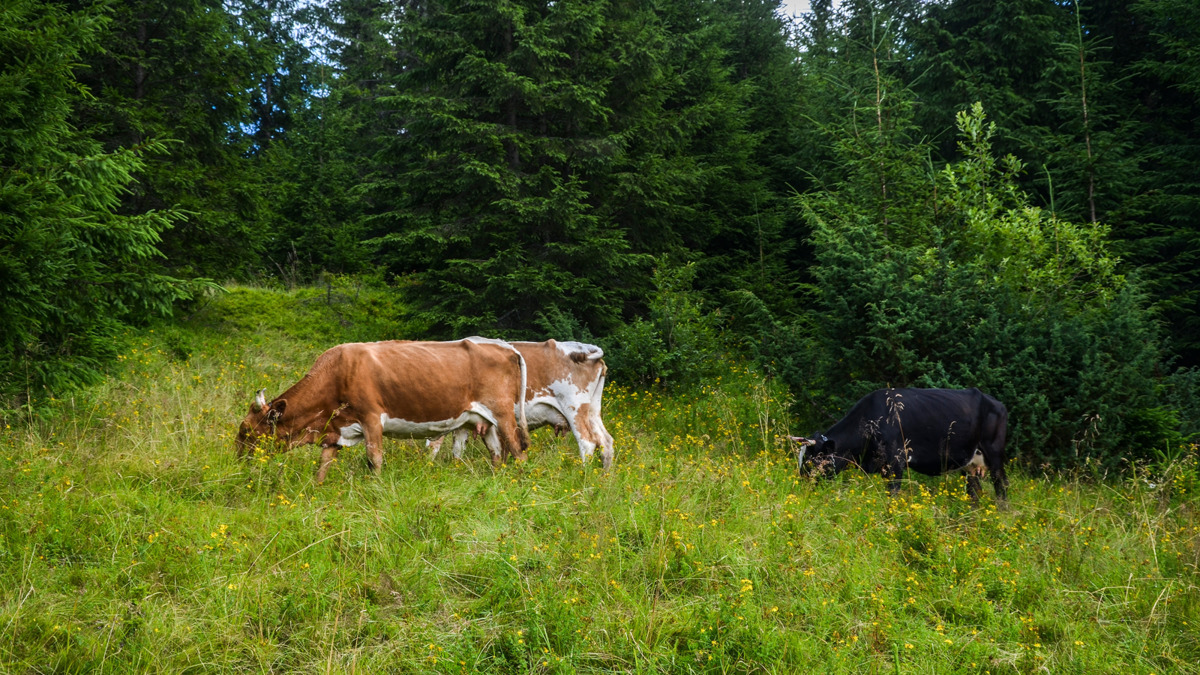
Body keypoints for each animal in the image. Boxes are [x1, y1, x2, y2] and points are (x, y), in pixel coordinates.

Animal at [235, 339, 530, 482]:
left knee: (518, 451)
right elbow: (324, 464)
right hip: (484, 421)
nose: (237, 460)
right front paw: (316, 489)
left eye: (246, 430)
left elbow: (374, 459)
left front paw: (375, 488)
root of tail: (506, 349)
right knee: (496, 454)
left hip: (503, 413)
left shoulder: (371, 418)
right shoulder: (336, 429)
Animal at [428, 338, 615, 468]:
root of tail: (585, 350)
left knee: (587, 442)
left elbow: (435, 445)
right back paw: (604, 478)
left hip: (574, 408)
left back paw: (584, 477)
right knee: (606, 442)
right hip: (592, 411)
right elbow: (458, 448)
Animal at [790, 388, 1009, 502]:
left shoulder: (896, 463)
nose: (801, 487)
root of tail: (997, 403)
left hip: (994, 453)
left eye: (811, 460)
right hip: (969, 463)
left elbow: (892, 495)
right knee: (974, 492)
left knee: (1001, 485)